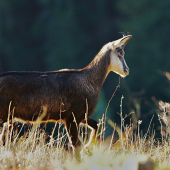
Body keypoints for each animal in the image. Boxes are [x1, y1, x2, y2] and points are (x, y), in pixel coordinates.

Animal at [0, 32, 131, 148]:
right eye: (121, 53)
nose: (126, 70)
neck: (89, 80)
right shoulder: (72, 118)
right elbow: (75, 146)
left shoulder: (82, 116)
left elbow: (95, 125)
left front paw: (88, 145)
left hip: (9, 118)